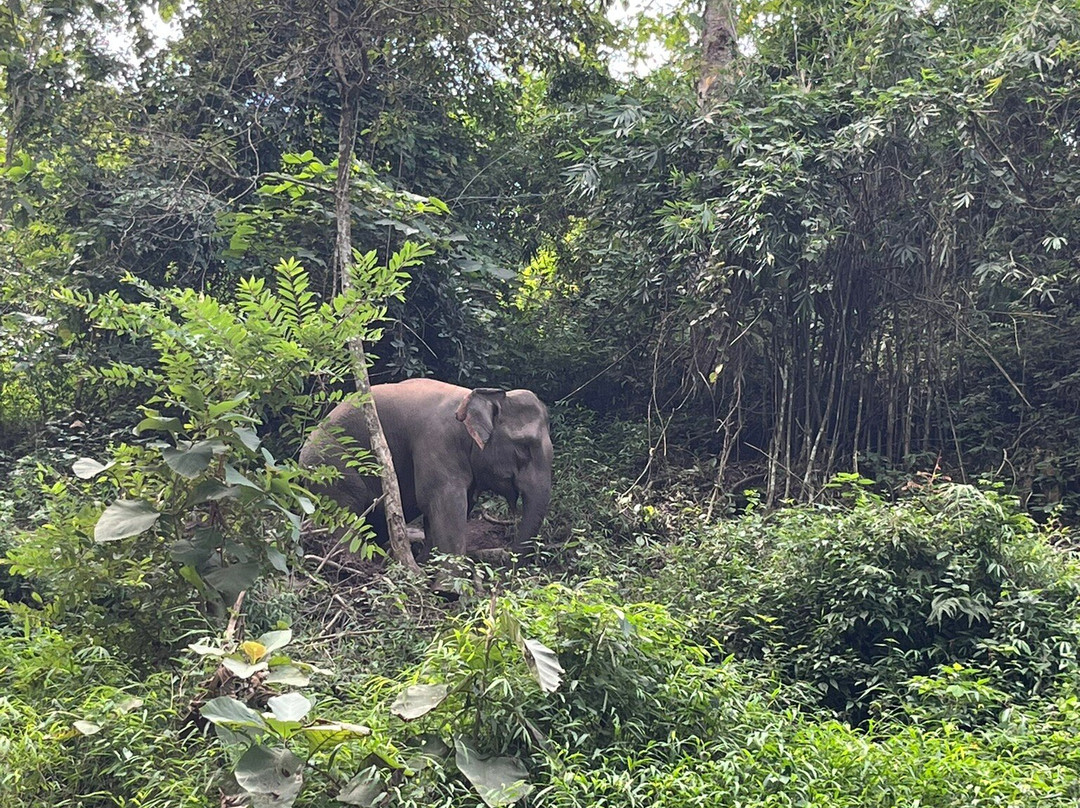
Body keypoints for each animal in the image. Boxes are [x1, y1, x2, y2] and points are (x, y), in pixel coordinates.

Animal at [299, 378, 553, 558]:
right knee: (345, 513)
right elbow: (444, 500)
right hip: (330, 466)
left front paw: (427, 563)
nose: (508, 556)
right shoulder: (436, 440)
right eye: (523, 450)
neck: (468, 398)